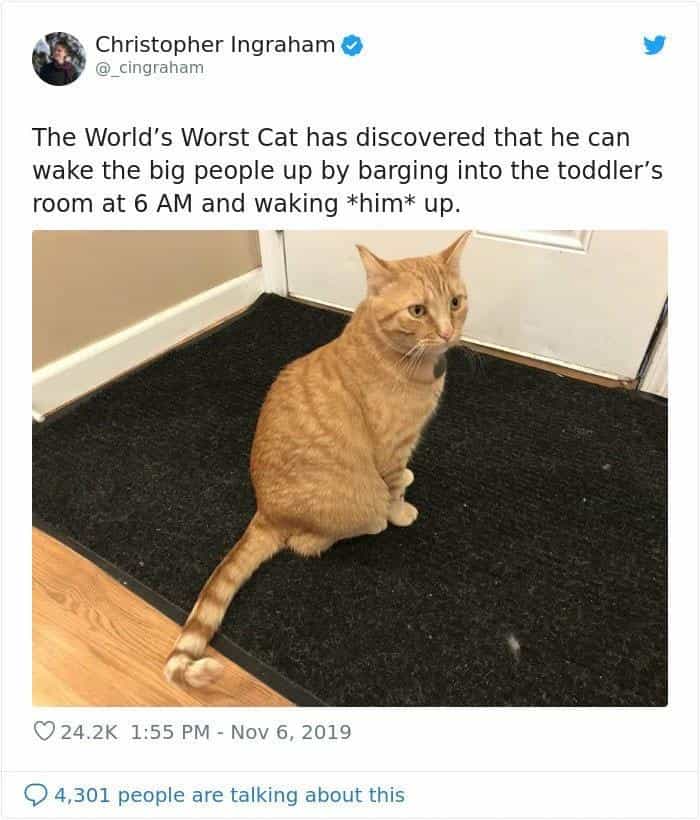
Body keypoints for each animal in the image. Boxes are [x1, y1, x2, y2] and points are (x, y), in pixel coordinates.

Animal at [164, 232, 472, 687]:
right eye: (417, 311)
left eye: (454, 302)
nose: (449, 332)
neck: (395, 351)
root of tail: (265, 509)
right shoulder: (390, 449)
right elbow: (394, 487)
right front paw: (400, 510)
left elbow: (403, 476)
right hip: (351, 507)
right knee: (308, 543)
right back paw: (374, 522)